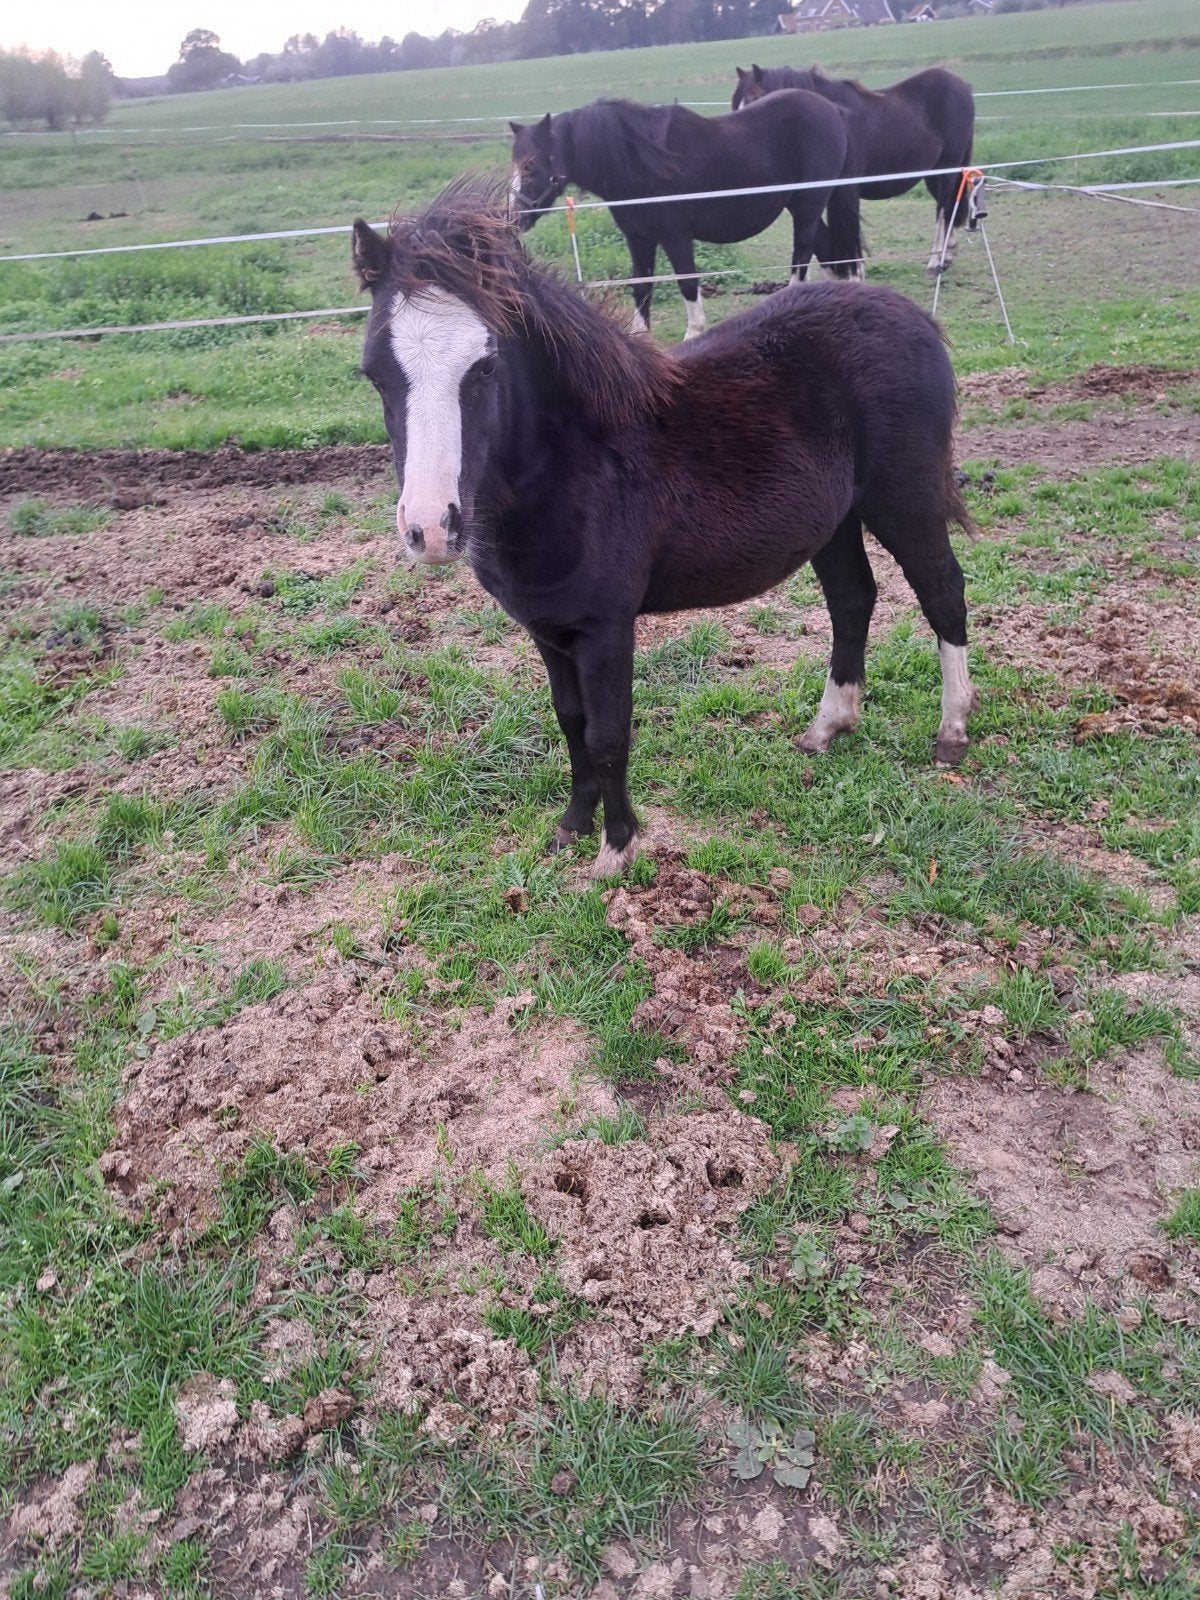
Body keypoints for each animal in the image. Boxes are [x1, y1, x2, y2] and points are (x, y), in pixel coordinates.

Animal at [351, 178, 976, 877]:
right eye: (375, 372)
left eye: (485, 367)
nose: (430, 528)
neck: (574, 466)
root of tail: (911, 315)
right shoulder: (548, 628)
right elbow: (570, 724)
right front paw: (570, 828)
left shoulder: (606, 626)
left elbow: (607, 733)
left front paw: (615, 850)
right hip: (835, 521)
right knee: (853, 599)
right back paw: (827, 727)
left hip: (905, 501)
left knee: (942, 593)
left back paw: (951, 733)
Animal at [508, 94, 861, 338]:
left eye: (531, 166)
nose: (513, 218)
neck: (641, 163)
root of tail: (833, 110)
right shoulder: (638, 238)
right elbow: (641, 286)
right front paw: (640, 336)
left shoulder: (675, 236)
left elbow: (688, 282)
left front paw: (693, 333)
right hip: (802, 206)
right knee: (826, 246)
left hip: (808, 205)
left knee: (802, 254)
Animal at [732, 64, 976, 277]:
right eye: (736, 105)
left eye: (755, 100)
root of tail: (961, 84)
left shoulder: (845, 188)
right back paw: (948, 255)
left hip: (946, 167)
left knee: (943, 208)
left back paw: (936, 261)